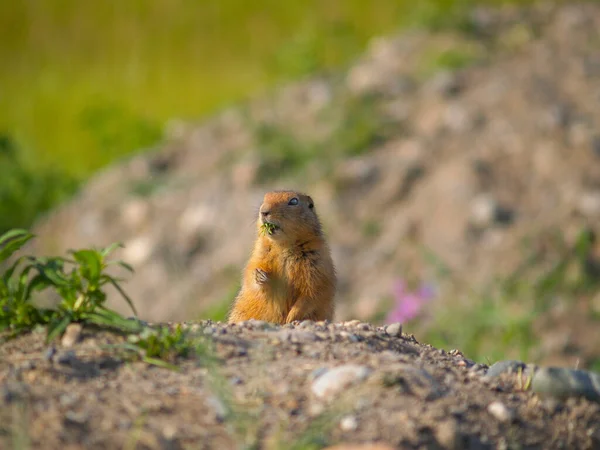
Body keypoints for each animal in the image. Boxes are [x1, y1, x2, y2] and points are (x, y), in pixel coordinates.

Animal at [227, 190, 336, 324]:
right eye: (265, 198)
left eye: (294, 201)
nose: (264, 211)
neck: (283, 246)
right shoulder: (259, 252)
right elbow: (250, 272)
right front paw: (259, 275)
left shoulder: (318, 261)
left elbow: (314, 291)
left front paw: (291, 317)